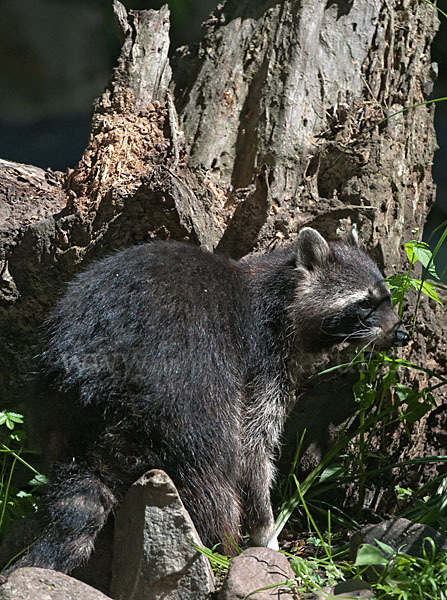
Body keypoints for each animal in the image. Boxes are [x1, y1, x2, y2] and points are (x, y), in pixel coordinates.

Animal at [17, 229, 410, 572]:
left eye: (388, 297)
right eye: (364, 304)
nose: (402, 334)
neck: (282, 294)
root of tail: (95, 369)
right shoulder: (261, 360)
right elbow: (253, 448)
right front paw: (266, 532)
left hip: (56, 399)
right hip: (185, 383)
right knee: (212, 465)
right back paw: (223, 543)